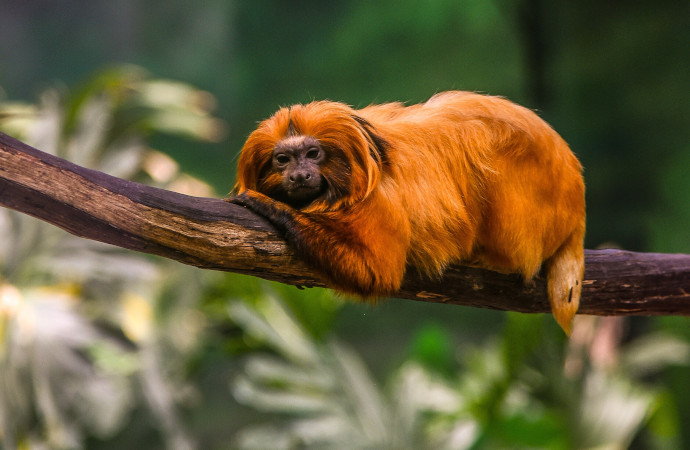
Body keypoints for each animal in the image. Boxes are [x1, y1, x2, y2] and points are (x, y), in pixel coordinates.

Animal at [228, 91, 584, 334]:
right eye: (283, 160)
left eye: (313, 154)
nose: (300, 175)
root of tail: (574, 194)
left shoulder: (378, 199)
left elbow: (377, 272)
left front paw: (267, 204)